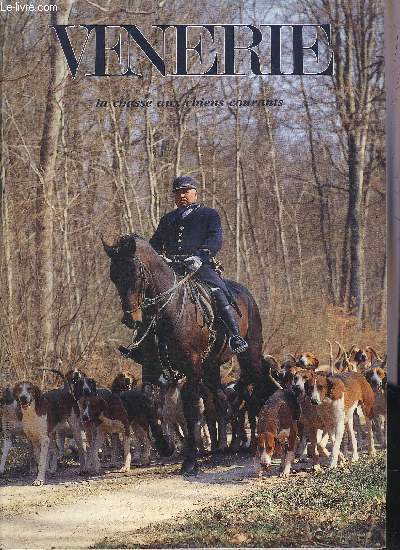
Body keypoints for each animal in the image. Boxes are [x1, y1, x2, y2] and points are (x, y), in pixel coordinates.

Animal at [103, 233, 266, 474]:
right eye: (114, 276)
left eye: (134, 273)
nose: (131, 319)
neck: (165, 313)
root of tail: (245, 293)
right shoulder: (152, 367)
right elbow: (149, 400)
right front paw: (165, 445)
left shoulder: (192, 366)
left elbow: (190, 409)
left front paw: (190, 459)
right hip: (211, 366)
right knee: (222, 399)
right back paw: (226, 446)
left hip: (249, 355)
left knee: (251, 386)